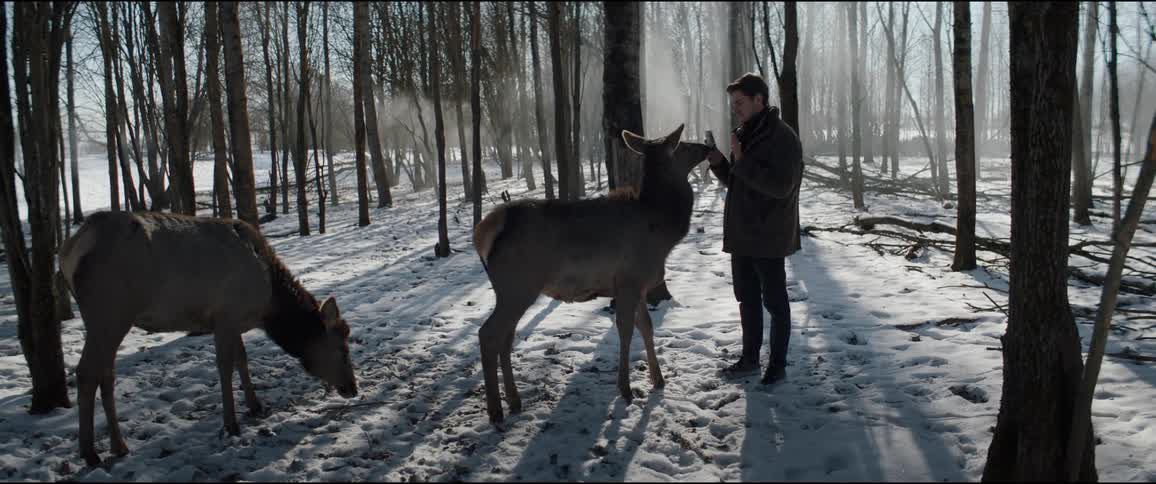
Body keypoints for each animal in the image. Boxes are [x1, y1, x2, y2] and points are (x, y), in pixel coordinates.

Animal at [58, 211, 358, 466]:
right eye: (342, 349)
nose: (352, 388)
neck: (268, 305)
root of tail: (70, 250)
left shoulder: (233, 320)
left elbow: (241, 359)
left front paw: (256, 406)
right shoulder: (225, 315)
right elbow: (225, 366)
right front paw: (231, 424)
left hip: (108, 319)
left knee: (105, 374)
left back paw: (118, 446)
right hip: (110, 311)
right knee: (86, 372)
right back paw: (90, 453)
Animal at [472, 124, 712, 424]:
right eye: (684, 145)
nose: (708, 147)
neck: (662, 229)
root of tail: (484, 231)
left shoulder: (640, 285)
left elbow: (646, 326)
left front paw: (658, 379)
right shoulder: (630, 279)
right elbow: (625, 329)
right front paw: (626, 388)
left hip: (513, 290)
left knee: (505, 337)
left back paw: (515, 401)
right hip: (517, 284)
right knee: (488, 334)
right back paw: (495, 411)